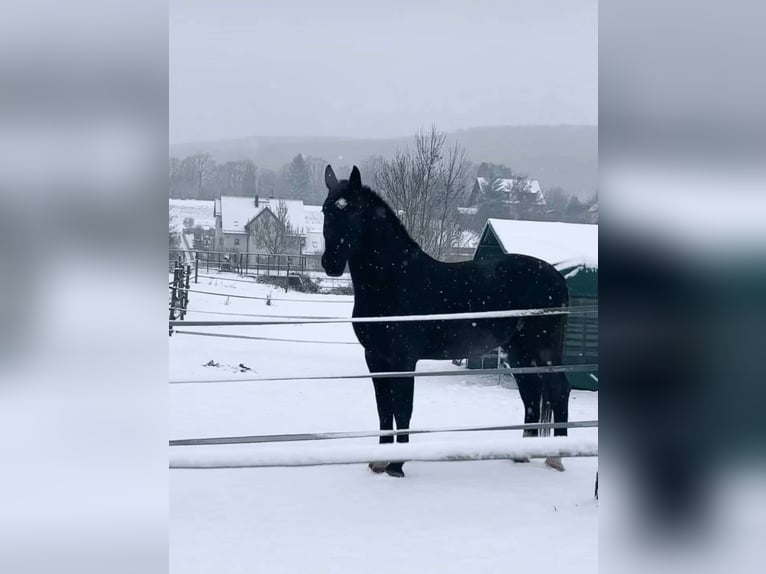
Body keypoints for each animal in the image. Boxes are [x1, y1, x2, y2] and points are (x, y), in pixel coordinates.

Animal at [320, 165, 572, 476]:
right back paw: (522, 455)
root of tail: (557, 276)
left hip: (543, 348)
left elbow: (403, 408)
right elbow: (384, 409)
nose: (330, 263)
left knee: (558, 389)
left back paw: (556, 458)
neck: (394, 279)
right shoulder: (375, 358)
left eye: (352, 210)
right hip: (518, 352)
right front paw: (380, 461)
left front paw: (397, 465)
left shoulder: (403, 359)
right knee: (531, 392)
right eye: (326, 210)